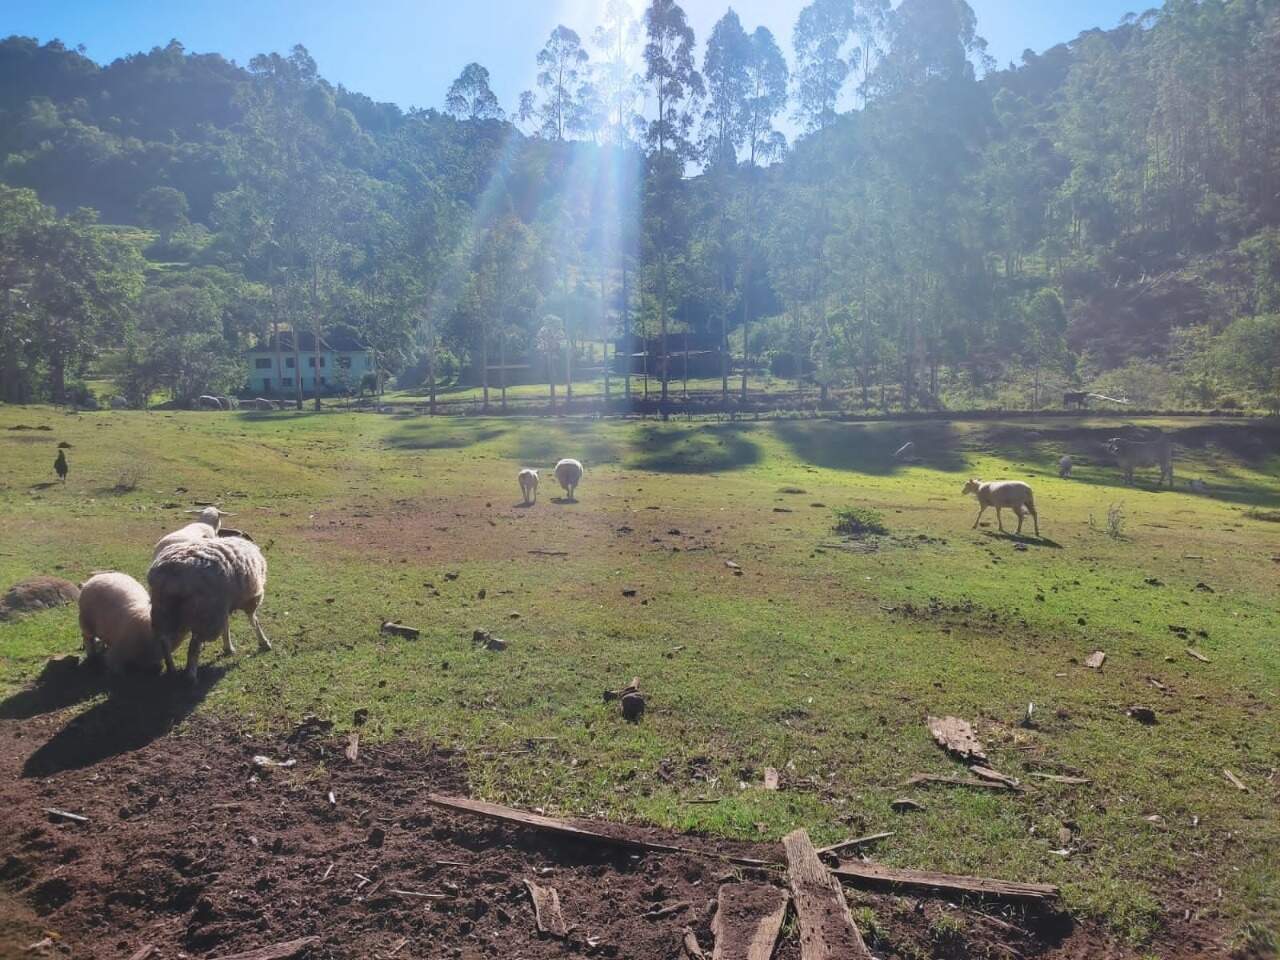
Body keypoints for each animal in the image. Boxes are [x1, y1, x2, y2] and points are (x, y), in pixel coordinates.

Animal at [148, 535, 271, 686]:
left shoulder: (223, 605)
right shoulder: (249, 600)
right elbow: (254, 621)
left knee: (164, 640)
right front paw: (264, 642)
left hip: (163, 610)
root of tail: (170, 575)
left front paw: (228, 647)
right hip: (204, 614)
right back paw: (191, 677)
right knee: (194, 646)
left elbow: (226, 625)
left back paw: (172, 669)